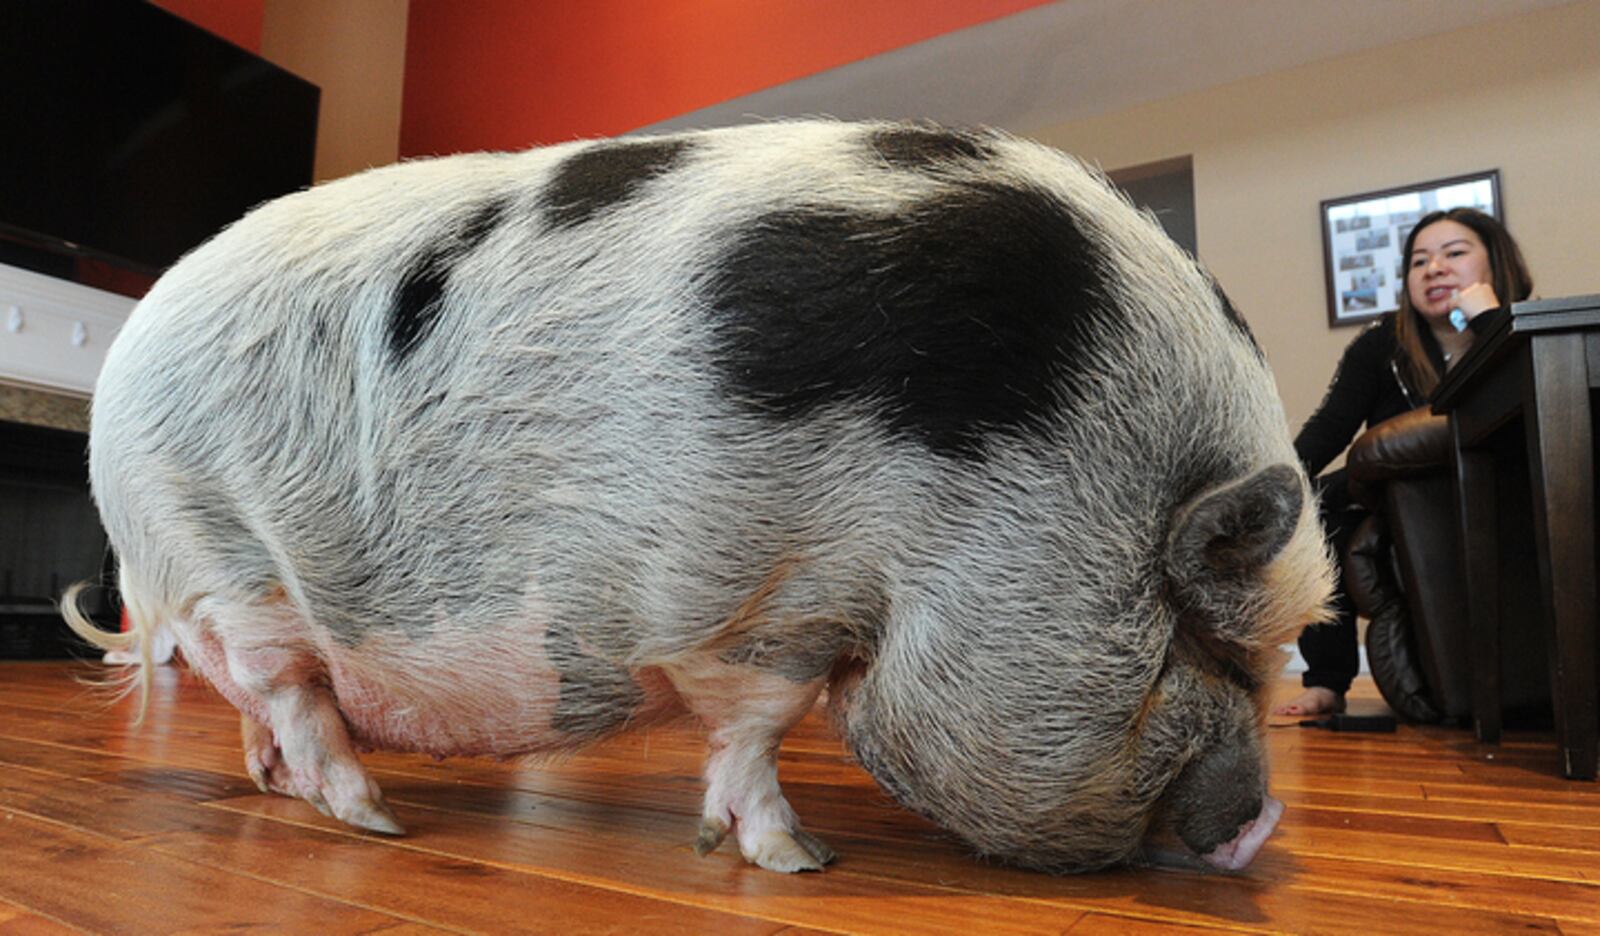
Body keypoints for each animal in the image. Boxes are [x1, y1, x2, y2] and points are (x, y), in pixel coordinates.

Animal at [68, 120, 1331, 870]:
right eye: (1211, 645)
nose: (1264, 821)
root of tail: (129, 348)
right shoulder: (753, 591)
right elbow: (759, 725)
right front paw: (798, 863)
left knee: (265, 708)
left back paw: (283, 793)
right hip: (221, 552)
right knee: (289, 693)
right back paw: (376, 816)